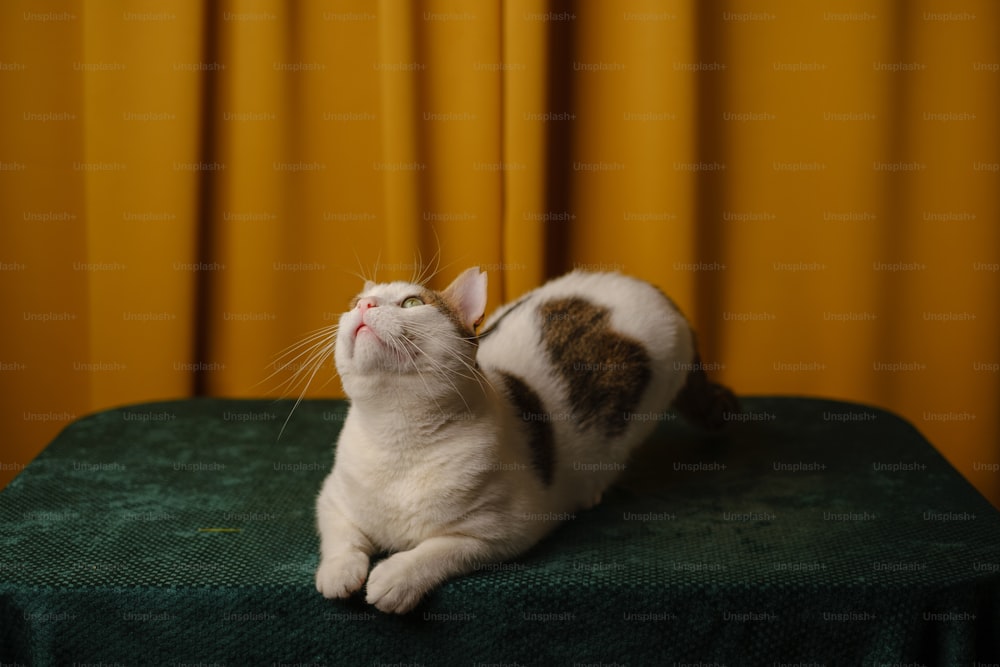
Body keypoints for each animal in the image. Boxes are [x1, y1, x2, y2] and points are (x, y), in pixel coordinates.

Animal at [316, 268, 740, 612]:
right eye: (353, 304)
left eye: (412, 302)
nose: (365, 304)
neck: (398, 435)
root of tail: (652, 288)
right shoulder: (332, 496)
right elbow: (341, 535)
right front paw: (339, 571)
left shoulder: (499, 532)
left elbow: (435, 551)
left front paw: (396, 578)